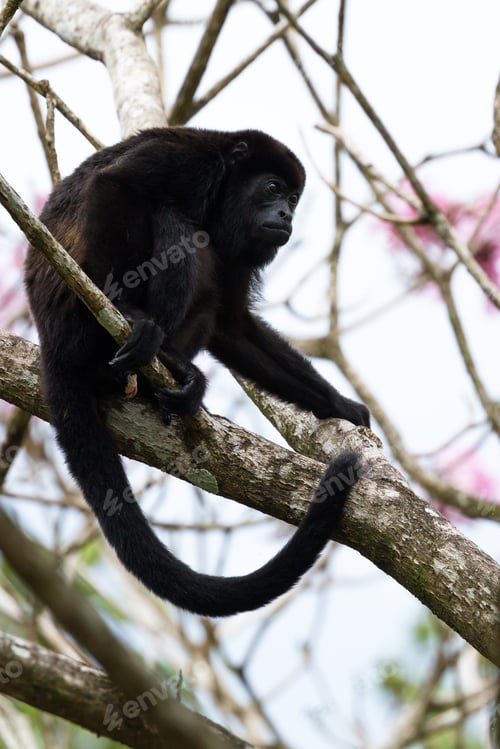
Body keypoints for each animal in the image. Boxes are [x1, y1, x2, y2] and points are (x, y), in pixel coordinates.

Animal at [24, 127, 370, 617]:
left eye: (294, 198)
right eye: (272, 188)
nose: (286, 214)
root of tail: (51, 344)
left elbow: (233, 324)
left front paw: (339, 404)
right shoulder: (188, 162)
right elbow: (116, 186)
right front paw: (126, 307)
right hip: (77, 328)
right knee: (177, 225)